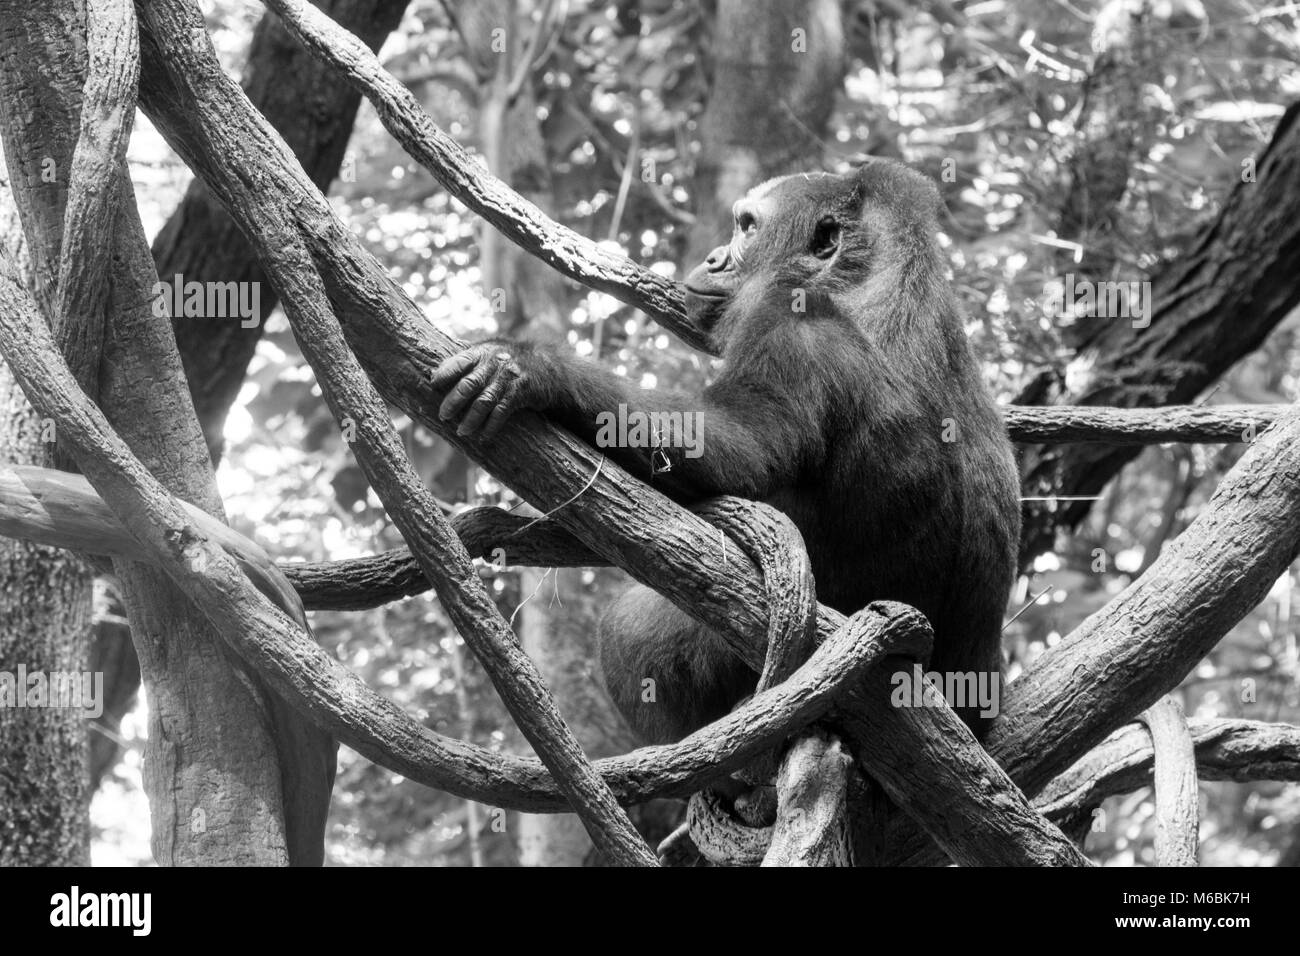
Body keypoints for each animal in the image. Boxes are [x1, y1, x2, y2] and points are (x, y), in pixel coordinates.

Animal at [430, 159, 1020, 745]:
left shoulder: (789, 323)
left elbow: (731, 449)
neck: (860, 276)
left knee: (630, 632)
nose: (713, 257)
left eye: (747, 226)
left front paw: (531, 369)